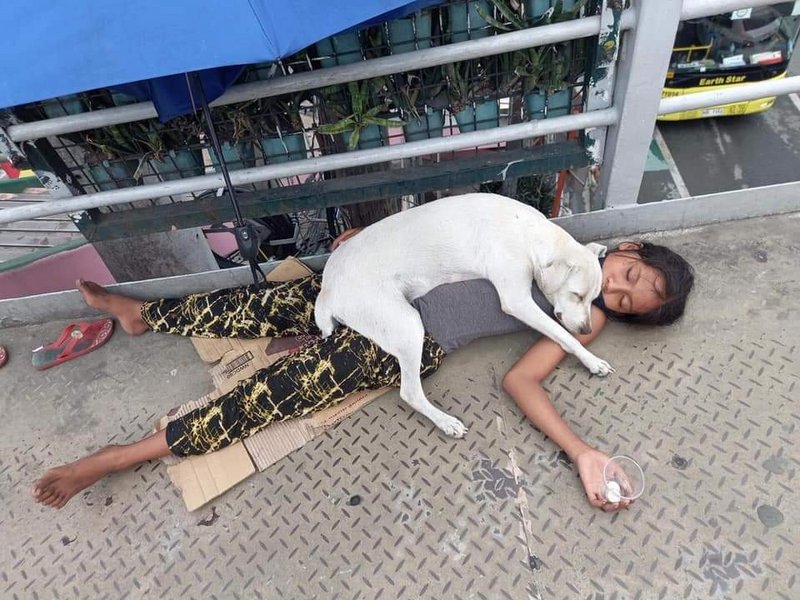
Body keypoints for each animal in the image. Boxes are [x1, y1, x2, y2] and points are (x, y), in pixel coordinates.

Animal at [312, 192, 612, 436]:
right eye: (577, 295)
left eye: (593, 298)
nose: (587, 330)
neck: (528, 233)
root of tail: (327, 289)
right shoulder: (517, 300)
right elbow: (565, 337)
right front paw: (591, 360)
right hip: (407, 325)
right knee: (410, 392)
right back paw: (445, 422)